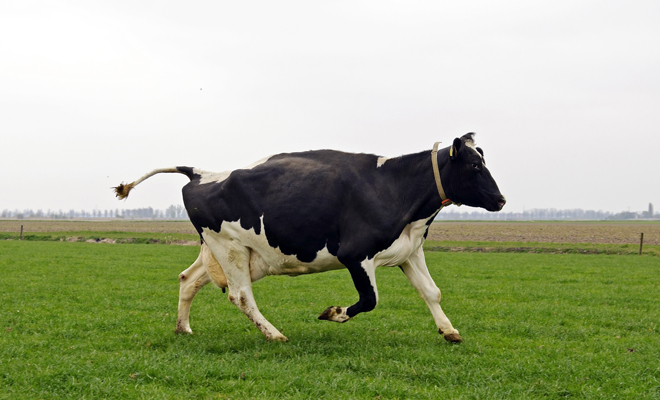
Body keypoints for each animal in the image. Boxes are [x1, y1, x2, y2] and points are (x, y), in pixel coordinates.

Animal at [115, 133, 505, 343]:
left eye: (483, 161)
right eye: (474, 166)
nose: (501, 199)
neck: (393, 186)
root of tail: (202, 173)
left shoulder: (409, 250)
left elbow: (431, 292)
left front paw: (449, 331)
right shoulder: (355, 254)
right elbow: (369, 300)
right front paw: (334, 313)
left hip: (224, 252)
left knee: (189, 279)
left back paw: (183, 329)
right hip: (231, 249)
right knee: (240, 296)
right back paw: (274, 334)